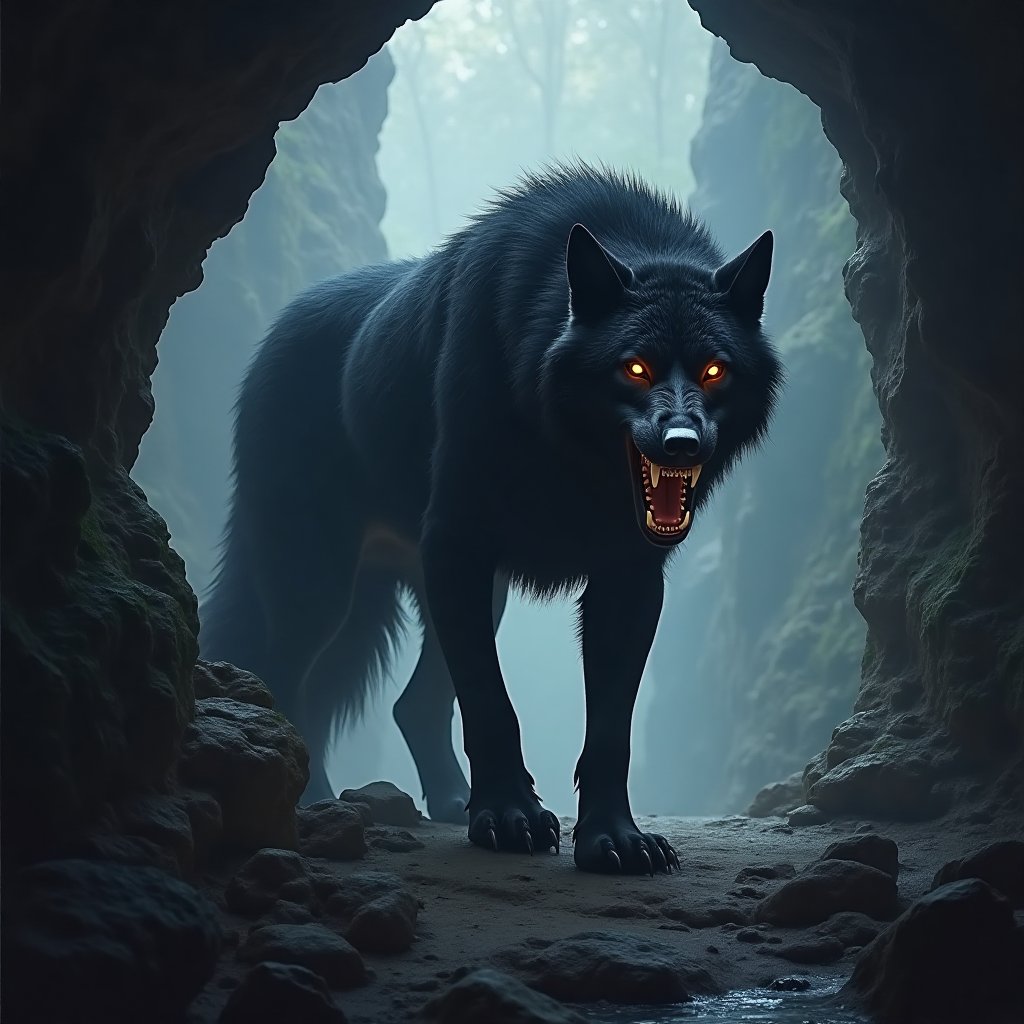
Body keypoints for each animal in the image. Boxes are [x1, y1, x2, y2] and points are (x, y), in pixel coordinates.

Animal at [200, 164, 782, 874]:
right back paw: (314, 801)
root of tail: (274, 335)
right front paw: (508, 817)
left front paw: (613, 838)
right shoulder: (459, 549)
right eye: (636, 368)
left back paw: (450, 803)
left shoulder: (629, 581)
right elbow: (491, 704)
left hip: (464, 592)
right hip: (322, 590)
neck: (562, 459)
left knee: (412, 706)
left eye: (714, 369)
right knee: (286, 680)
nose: (682, 444)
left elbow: (610, 730)